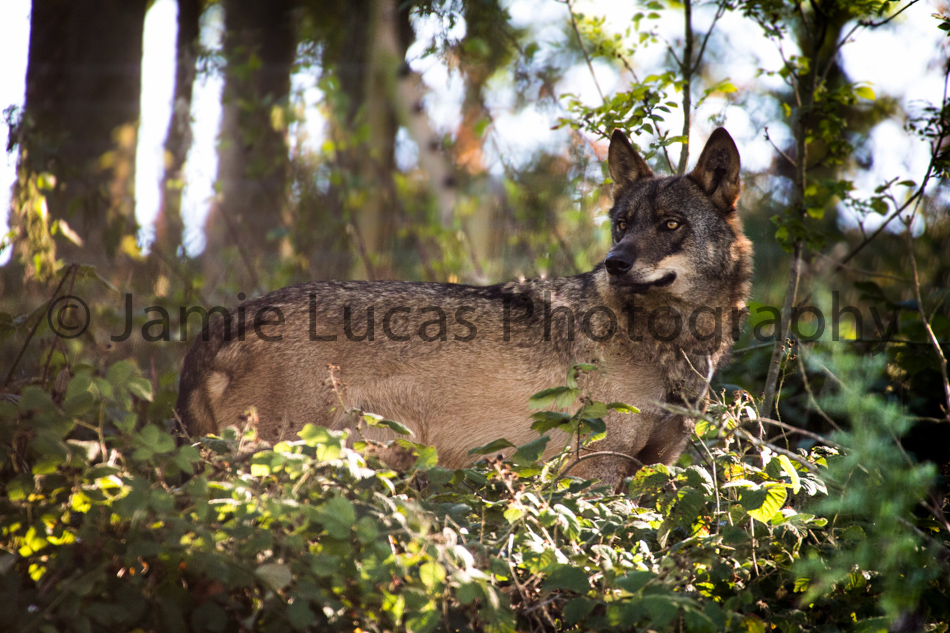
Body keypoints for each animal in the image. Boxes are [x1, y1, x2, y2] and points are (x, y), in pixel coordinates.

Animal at [176, 128, 752, 490]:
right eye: (622, 225)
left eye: (671, 224)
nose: (614, 264)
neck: (669, 345)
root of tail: (221, 325)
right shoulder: (592, 473)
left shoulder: (648, 471)